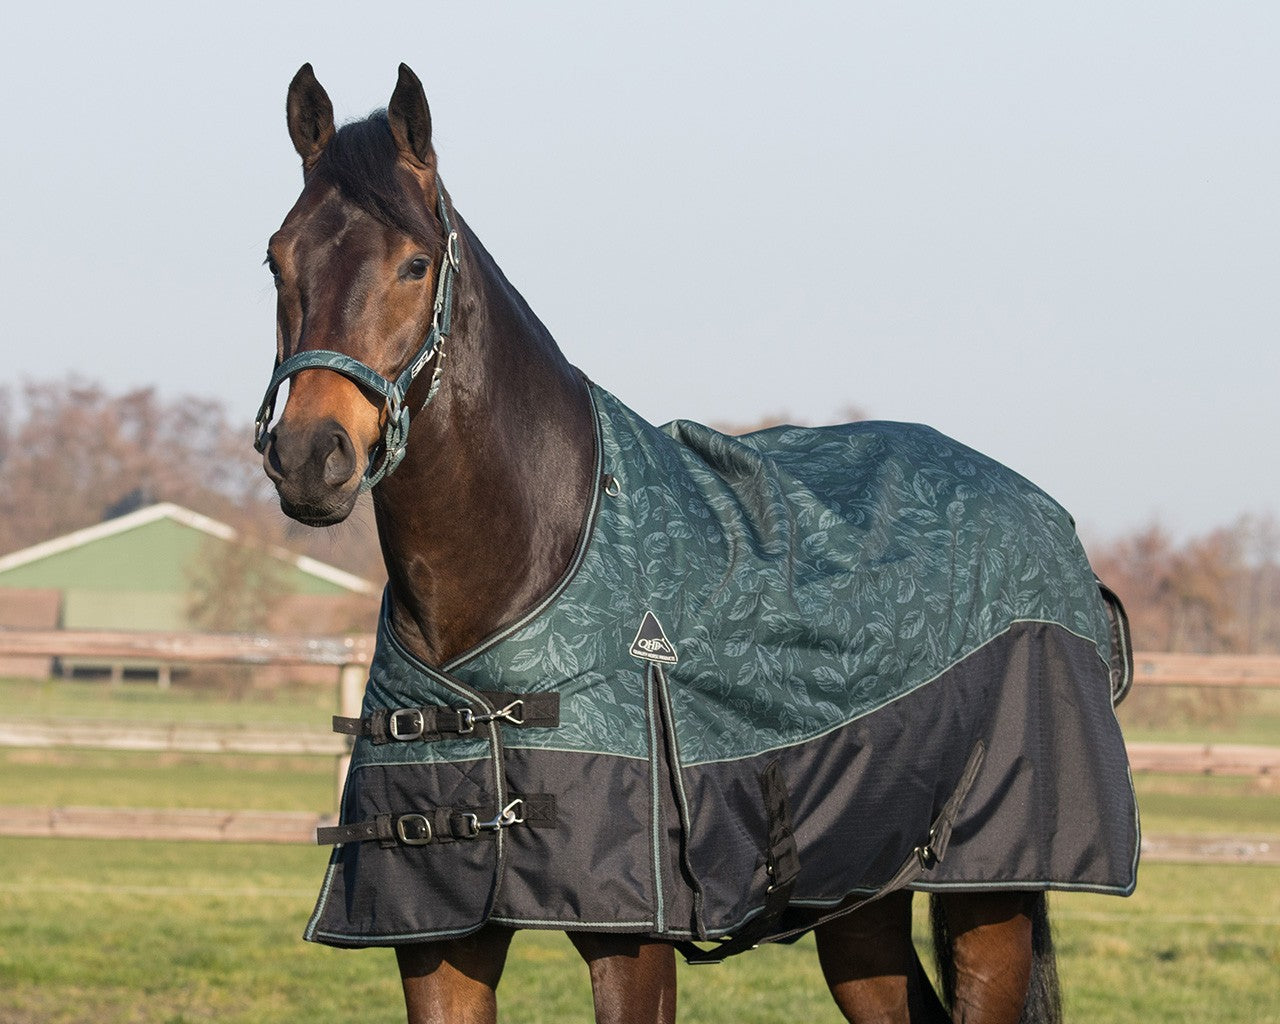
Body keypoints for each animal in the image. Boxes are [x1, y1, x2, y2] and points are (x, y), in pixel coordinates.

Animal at [256, 63, 1137, 1024]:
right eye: (277, 257)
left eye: (415, 264)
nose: (310, 456)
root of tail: (1053, 520)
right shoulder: (437, 936)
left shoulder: (633, 940)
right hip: (862, 907)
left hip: (991, 895)